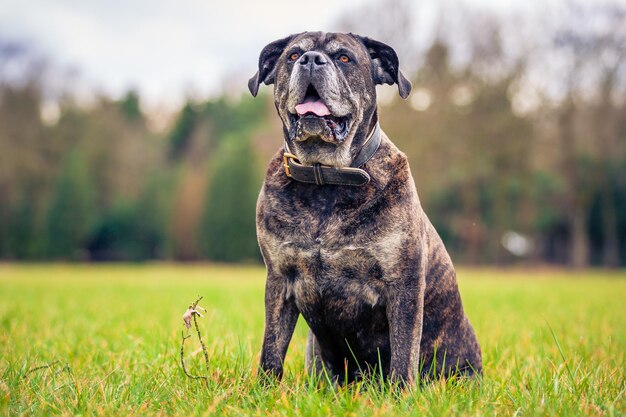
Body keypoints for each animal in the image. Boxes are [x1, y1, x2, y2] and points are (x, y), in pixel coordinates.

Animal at [246, 30, 480, 386]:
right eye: (293, 55)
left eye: (344, 58)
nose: (311, 60)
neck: (325, 179)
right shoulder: (280, 280)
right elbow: (272, 346)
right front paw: (266, 389)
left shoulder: (403, 284)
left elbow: (403, 351)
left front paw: (401, 393)